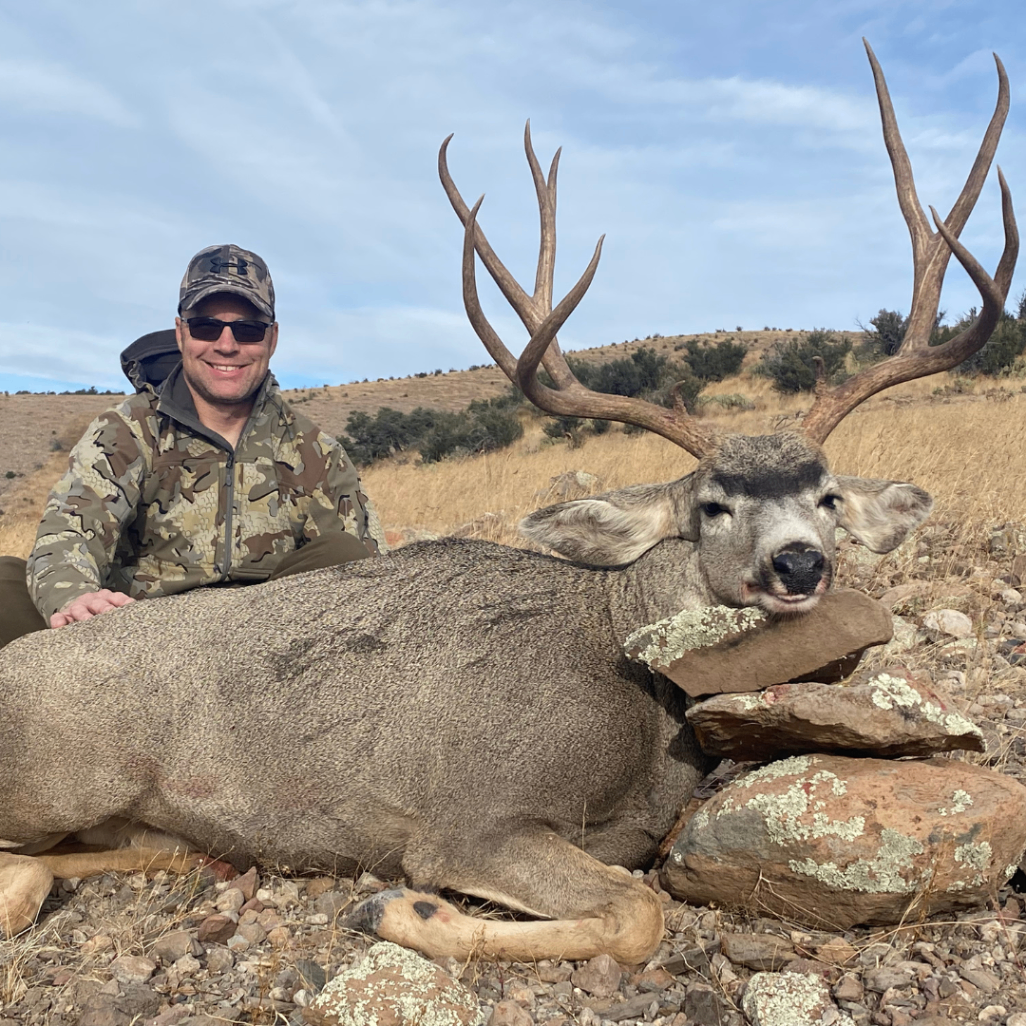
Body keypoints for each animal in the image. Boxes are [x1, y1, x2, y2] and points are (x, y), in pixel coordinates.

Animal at [0, 41, 1016, 963]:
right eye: (712, 506)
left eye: (829, 496)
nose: (799, 561)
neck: (630, 683)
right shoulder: (470, 817)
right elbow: (635, 914)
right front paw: (398, 910)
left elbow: (633, 900)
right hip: (63, 779)